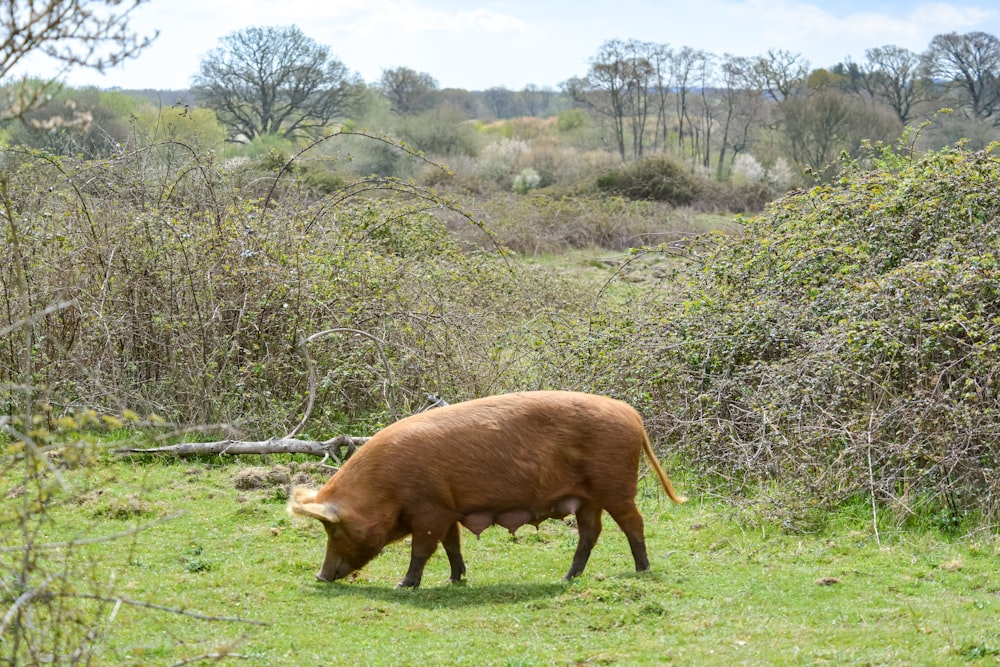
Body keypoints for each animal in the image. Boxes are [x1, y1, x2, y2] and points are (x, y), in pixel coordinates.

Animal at [286, 392, 684, 588]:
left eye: (334, 529)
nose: (320, 576)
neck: (387, 487)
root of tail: (633, 416)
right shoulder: (447, 509)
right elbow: (452, 545)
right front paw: (455, 580)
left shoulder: (429, 508)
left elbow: (422, 549)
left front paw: (404, 585)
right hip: (587, 499)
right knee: (591, 533)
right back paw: (567, 577)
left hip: (616, 487)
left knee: (633, 524)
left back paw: (642, 571)